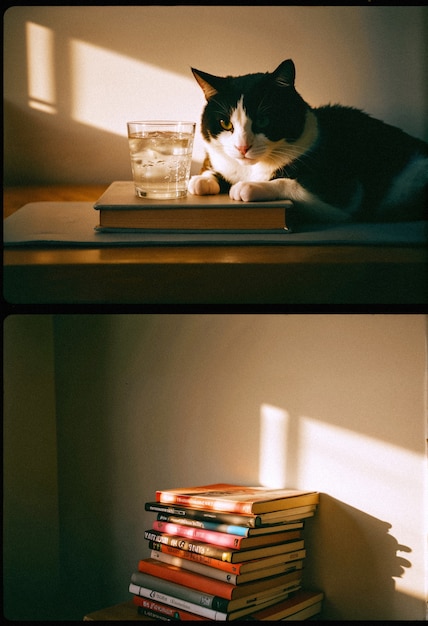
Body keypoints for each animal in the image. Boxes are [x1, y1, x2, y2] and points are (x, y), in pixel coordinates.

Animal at [189, 56, 426, 222]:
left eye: (264, 120)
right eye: (225, 124)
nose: (242, 147)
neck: (252, 168)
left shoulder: (347, 196)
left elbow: (288, 183)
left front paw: (249, 186)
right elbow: (210, 173)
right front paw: (202, 180)